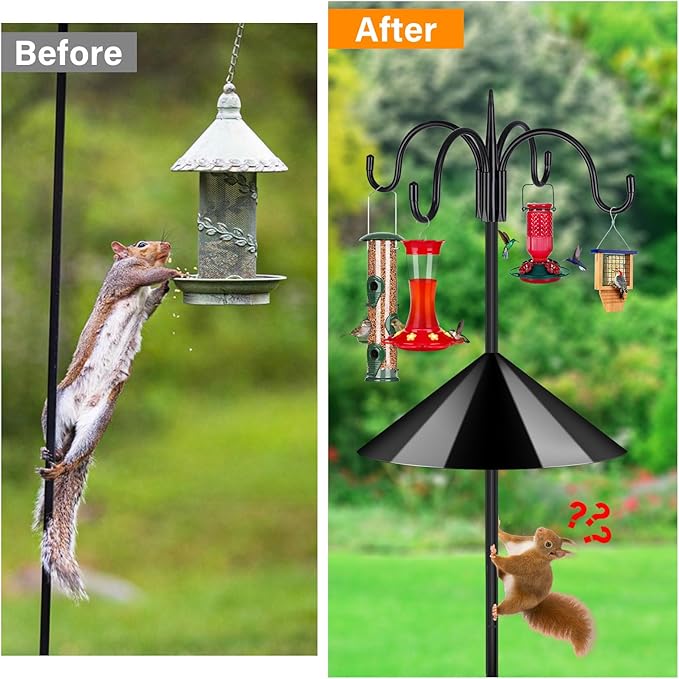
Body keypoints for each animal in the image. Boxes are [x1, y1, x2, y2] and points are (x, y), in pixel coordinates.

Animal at [32, 240, 181, 600]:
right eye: (141, 244)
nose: (167, 245)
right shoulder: (124, 277)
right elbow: (144, 277)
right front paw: (171, 272)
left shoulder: (144, 306)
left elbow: (150, 303)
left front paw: (165, 286)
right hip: (55, 404)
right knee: (57, 439)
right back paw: (51, 456)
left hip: (99, 419)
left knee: (75, 454)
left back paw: (61, 464)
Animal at [490, 524, 594, 656]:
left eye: (548, 544)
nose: (540, 529)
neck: (534, 548)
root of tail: (534, 605)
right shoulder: (521, 542)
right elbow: (510, 538)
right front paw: (498, 529)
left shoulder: (531, 563)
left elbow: (514, 565)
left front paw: (494, 557)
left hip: (520, 600)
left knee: (508, 607)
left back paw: (496, 610)